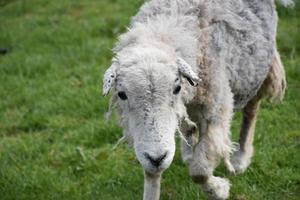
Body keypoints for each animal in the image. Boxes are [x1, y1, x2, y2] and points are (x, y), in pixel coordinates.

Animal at [102, 0, 290, 199]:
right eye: (122, 94)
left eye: (176, 88)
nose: (157, 158)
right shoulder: (145, 140)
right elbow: (152, 172)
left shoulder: (216, 111)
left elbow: (199, 171)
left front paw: (220, 189)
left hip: (255, 69)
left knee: (252, 108)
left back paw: (241, 157)